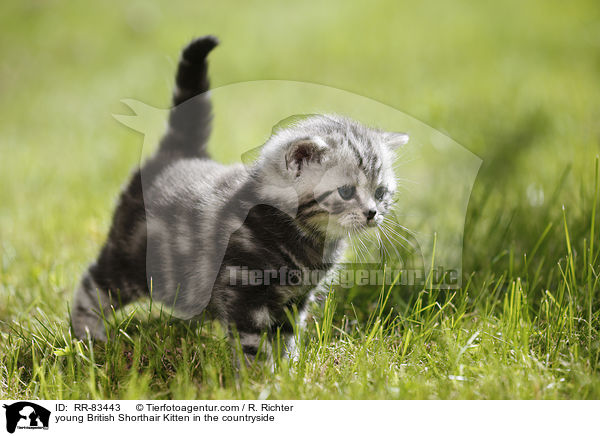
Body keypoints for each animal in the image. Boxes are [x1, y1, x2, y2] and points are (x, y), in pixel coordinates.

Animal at [70, 35, 408, 362]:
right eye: (346, 191)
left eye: (380, 192)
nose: (372, 213)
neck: (303, 237)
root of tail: (177, 154)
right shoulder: (244, 292)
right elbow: (253, 344)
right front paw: (257, 375)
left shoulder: (294, 301)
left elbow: (285, 337)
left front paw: (288, 369)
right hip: (131, 259)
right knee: (92, 286)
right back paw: (88, 339)